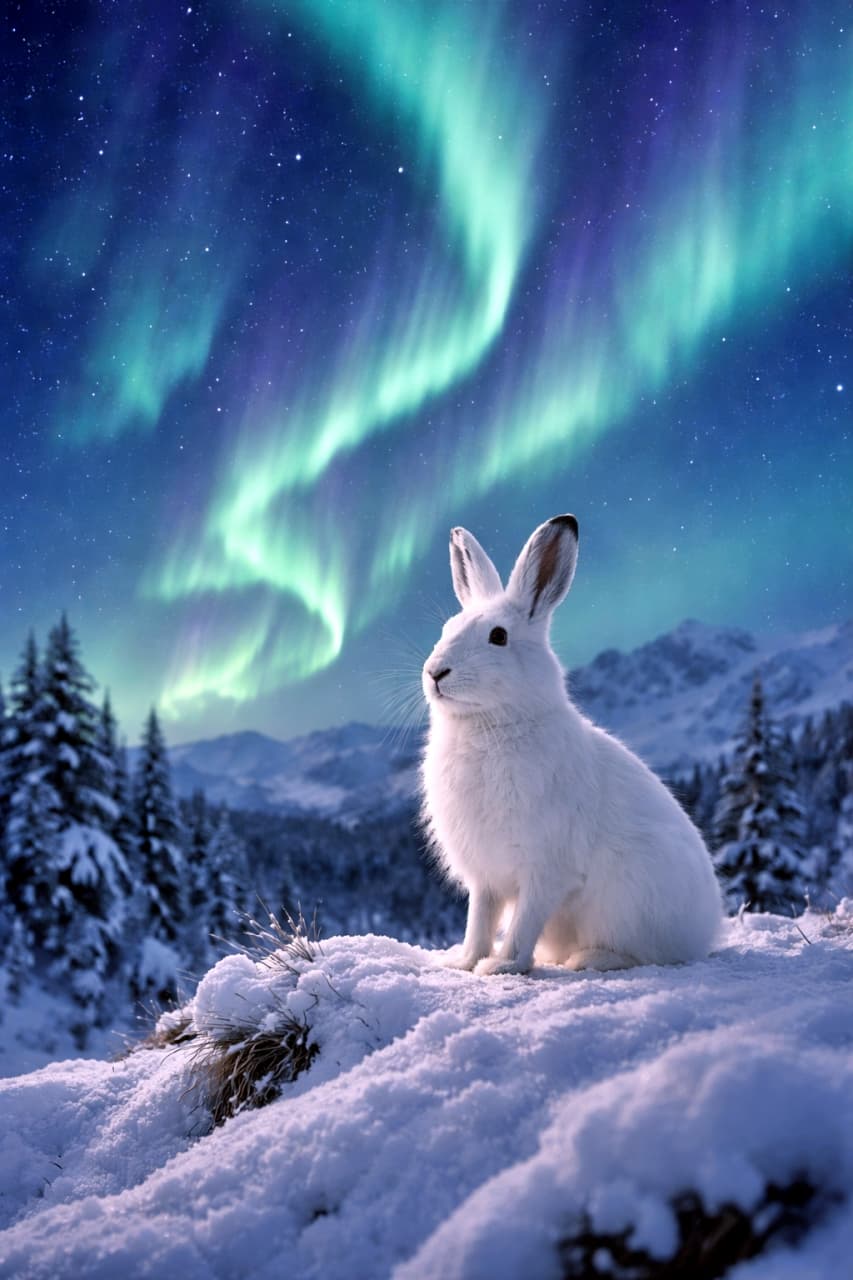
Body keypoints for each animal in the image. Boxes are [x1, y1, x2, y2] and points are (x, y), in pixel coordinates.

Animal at [421, 514, 723, 975]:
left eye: (498, 636)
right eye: (446, 629)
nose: (435, 672)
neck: (492, 726)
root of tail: (705, 931)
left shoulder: (547, 868)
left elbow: (523, 921)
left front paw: (502, 967)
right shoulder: (486, 878)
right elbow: (480, 919)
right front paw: (463, 962)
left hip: (630, 901)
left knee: (646, 955)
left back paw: (588, 958)